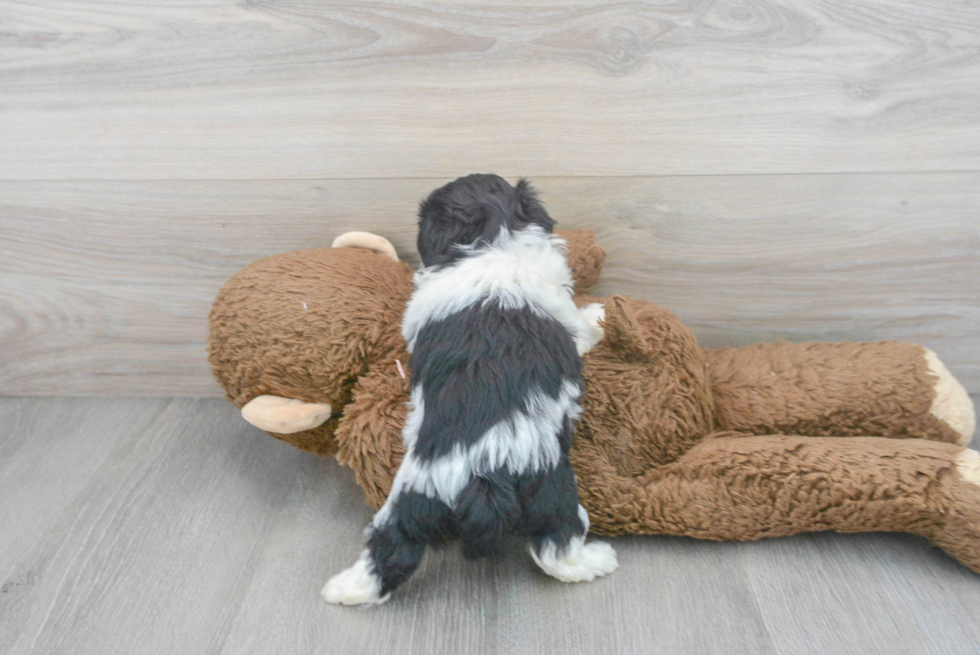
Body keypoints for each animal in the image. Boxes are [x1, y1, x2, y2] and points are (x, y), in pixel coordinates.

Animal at [326, 176, 616, 608]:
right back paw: (598, 560)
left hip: (416, 503)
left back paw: (344, 590)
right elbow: (583, 327)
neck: (491, 242)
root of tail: (483, 475)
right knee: (557, 547)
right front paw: (599, 315)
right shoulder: (565, 318)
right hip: (552, 490)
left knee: (390, 548)